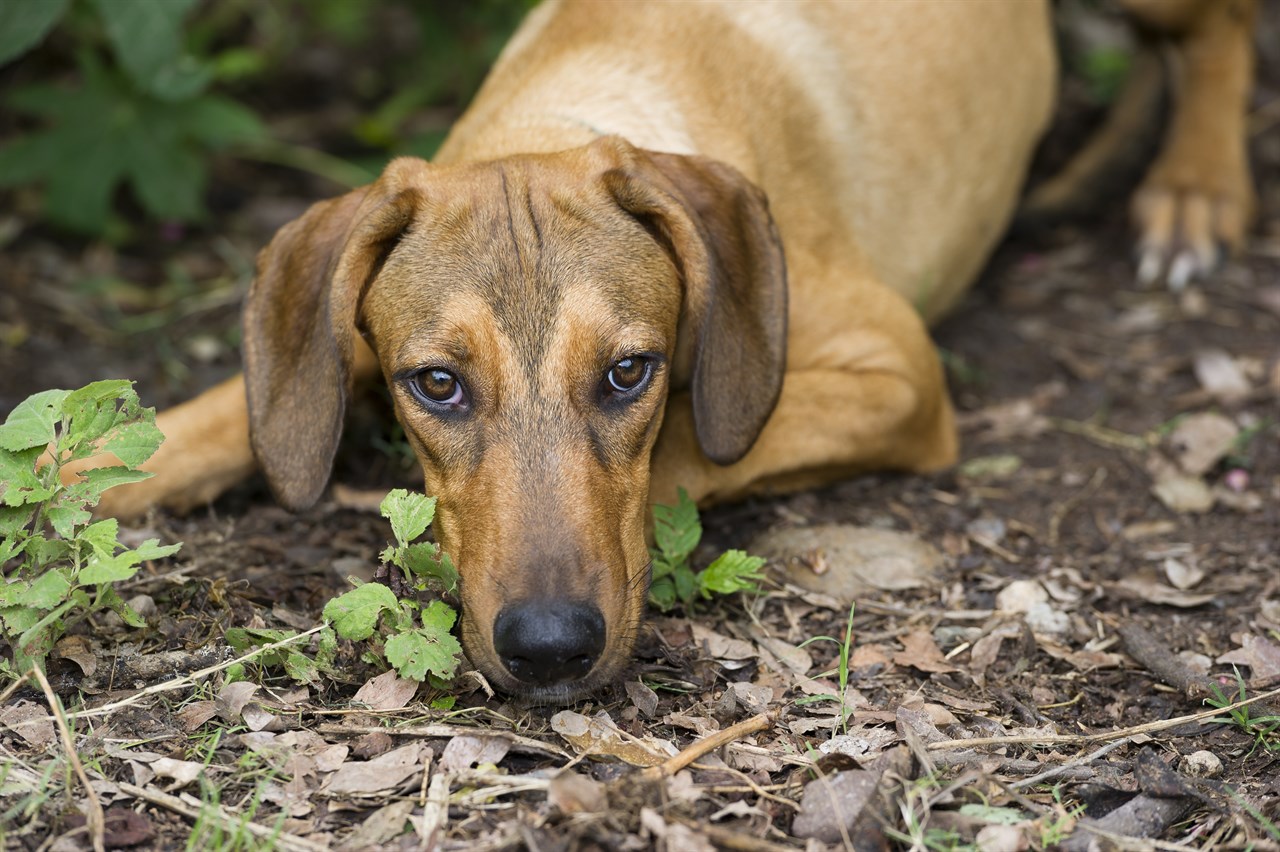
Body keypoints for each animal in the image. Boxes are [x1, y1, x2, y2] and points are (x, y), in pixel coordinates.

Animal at [74, 0, 1254, 701]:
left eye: (626, 373)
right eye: (438, 385)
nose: (550, 647)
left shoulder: (897, 373)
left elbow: (692, 445)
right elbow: (180, 427)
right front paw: (79, 469)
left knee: (1218, 26)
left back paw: (1192, 187)